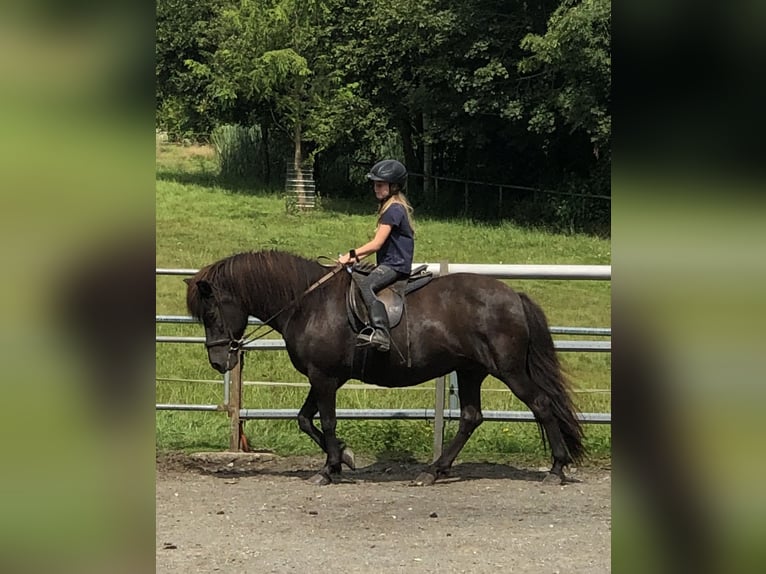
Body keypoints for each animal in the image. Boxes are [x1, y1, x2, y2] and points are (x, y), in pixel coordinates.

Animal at [188, 251, 588, 486]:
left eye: (211, 314)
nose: (219, 361)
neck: (308, 303)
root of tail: (513, 296)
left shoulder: (324, 377)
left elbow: (326, 421)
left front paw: (330, 468)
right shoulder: (325, 377)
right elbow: (304, 419)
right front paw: (343, 457)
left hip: (509, 370)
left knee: (541, 404)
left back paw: (556, 469)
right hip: (470, 370)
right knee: (471, 416)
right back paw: (433, 471)